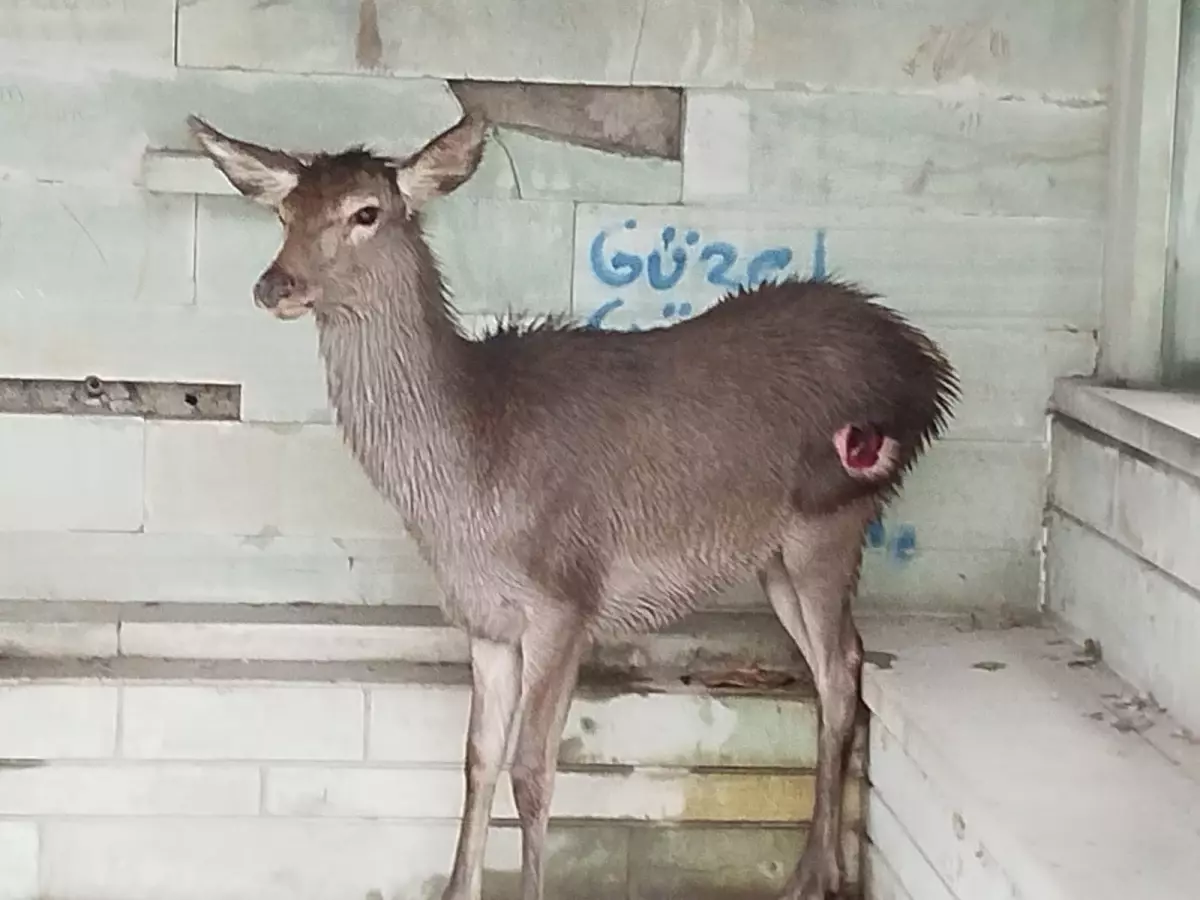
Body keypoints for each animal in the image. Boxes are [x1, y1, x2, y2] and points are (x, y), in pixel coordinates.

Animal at [187, 112, 955, 900]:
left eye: (365, 212)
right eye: (285, 212)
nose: (274, 284)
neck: (469, 483)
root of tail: (926, 369)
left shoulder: (566, 599)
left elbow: (533, 771)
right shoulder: (486, 619)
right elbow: (478, 758)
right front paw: (458, 887)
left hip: (831, 519)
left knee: (840, 670)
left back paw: (816, 875)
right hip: (775, 556)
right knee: (841, 667)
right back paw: (814, 867)